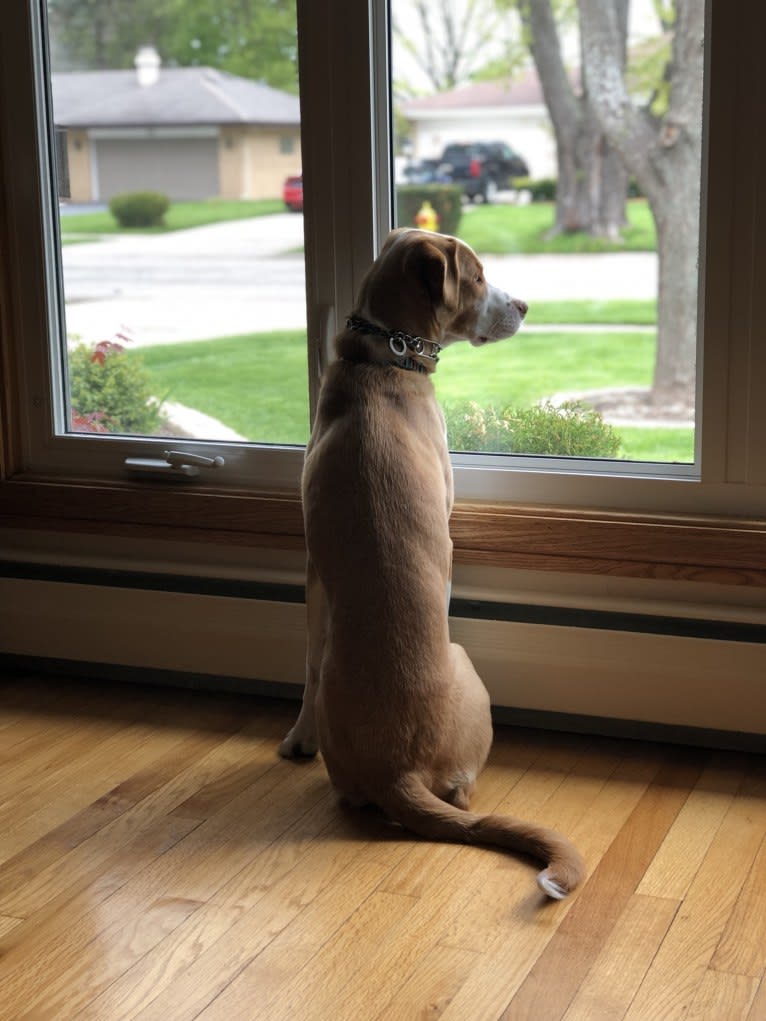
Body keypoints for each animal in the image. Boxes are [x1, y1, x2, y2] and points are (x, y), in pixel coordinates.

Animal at [281, 227, 588, 898]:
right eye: (476, 277)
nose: (525, 305)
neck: (380, 362)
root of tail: (400, 772)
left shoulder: (313, 570)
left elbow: (307, 660)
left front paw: (297, 739)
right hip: (467, 665)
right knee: (464, 795)